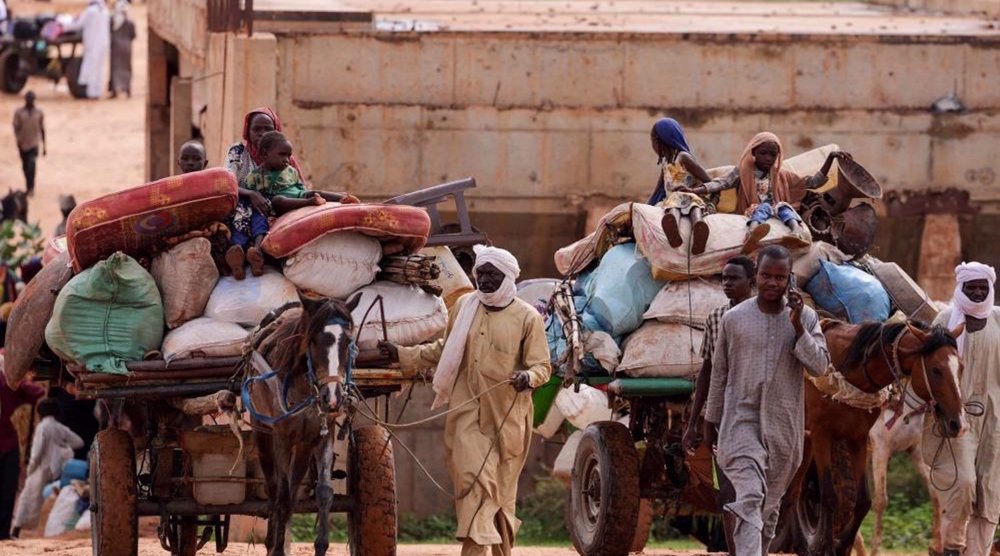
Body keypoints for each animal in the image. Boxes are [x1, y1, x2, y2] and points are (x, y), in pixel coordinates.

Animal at [244, 294, 362, 552]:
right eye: (314, 340)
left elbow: (324, 492)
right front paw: (277, 549)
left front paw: (321, 545)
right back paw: (271, 541)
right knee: (274, 490)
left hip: (302, 446)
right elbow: (282, 496)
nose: (333, 397)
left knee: (293, 487)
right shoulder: (282, 437)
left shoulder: (319, 436)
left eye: (348, 341)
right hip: (262, 432)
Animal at [788, 320, 960, 552]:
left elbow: (866, 501)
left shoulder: (869, 441)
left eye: (960, 367)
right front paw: (845, 547)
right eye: (936, 370)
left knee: (794, 487)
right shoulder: (830, 436)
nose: (955, 422)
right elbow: (841, 497)